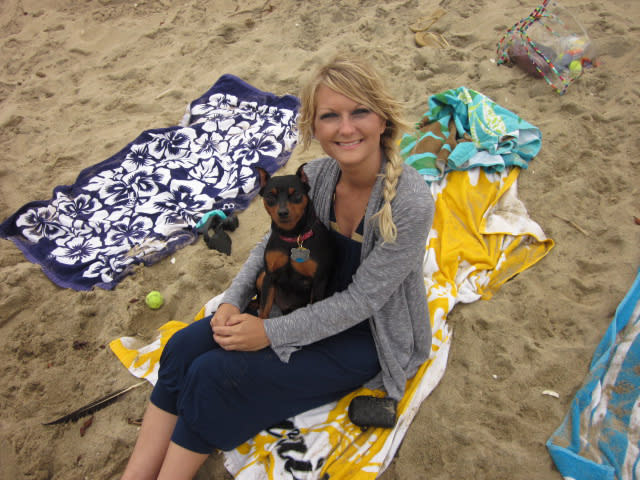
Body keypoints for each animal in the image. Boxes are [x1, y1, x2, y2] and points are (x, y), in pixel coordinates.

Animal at [255, 165, 336, 318]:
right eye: (270, 196)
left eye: (296, 194)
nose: (282, 212)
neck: (292, 237)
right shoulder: (269, 277)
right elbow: (263, 311)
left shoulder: (318, 282)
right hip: (261, 277)